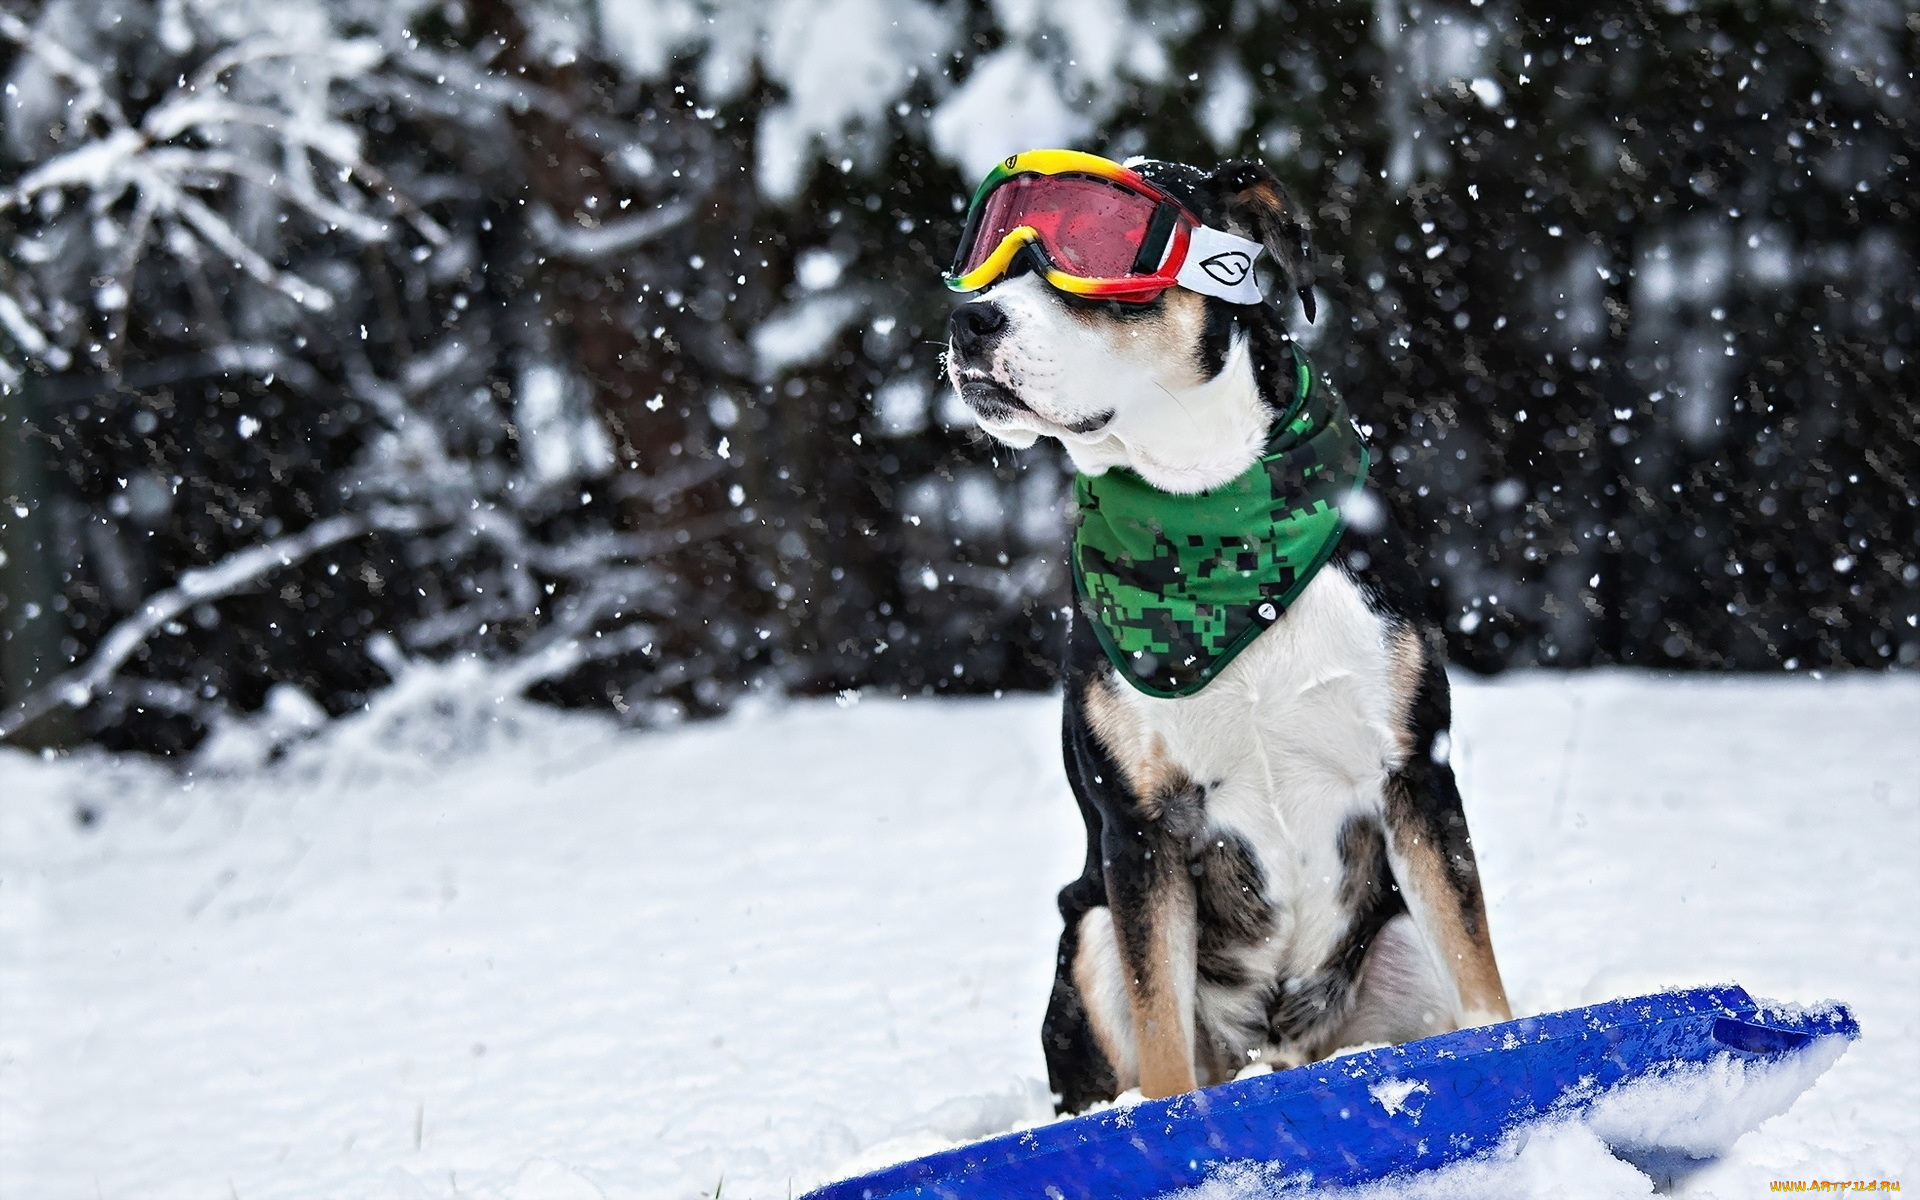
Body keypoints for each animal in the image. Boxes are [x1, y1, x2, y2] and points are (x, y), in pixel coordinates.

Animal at [936, 156, 1505, 1113]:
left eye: (1100, 245)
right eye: (987, 251)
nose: (969, 320)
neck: (1208, 512)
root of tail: (1277, 1051)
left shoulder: (1415, 773)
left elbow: (1483, 987)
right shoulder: (1141, 830)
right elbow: (1163, 1033)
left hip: (1394, 940)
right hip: (1090, 933)